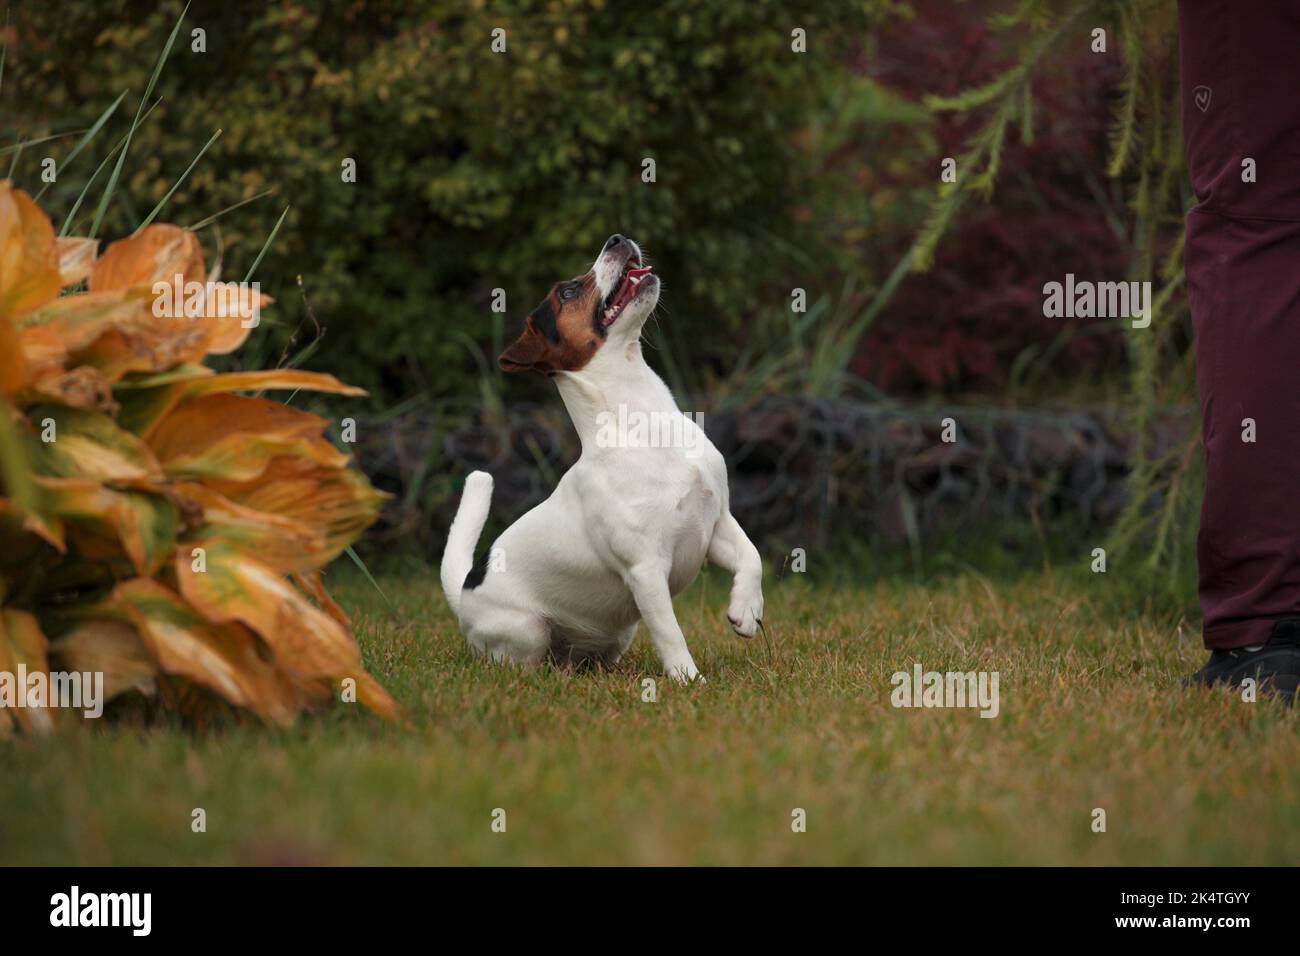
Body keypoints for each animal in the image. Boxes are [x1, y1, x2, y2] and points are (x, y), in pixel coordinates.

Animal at [444, 235, 764, 686]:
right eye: (567, 292)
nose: (617, 238)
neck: (644, 423)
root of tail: (464, 591)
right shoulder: (645, 568)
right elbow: (670, 631)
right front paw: (689, 681)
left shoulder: (717, 523)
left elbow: (753, 557)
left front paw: (746, 611)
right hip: (526, 629)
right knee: (520, 661)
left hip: (615, 634)